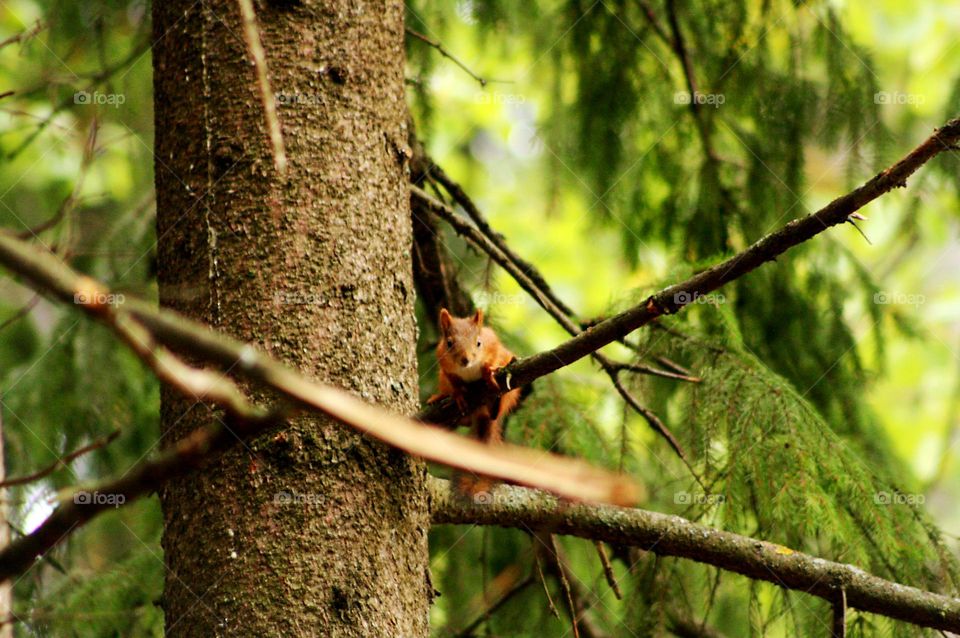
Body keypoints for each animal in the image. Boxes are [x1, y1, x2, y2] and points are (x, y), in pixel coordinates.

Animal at [427, 308, 521, 447]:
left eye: (479, 343)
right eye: (449, 343)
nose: (465, 360)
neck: (468, 368)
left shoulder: (493, 345)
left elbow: (493, 360)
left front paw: (488, 373)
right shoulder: (445, 367)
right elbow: (454, 383)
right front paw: (458, 395)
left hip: (508, 393)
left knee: (495, 413)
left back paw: (496, 402)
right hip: (443, 380)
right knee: (467, 422)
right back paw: (440, 397)